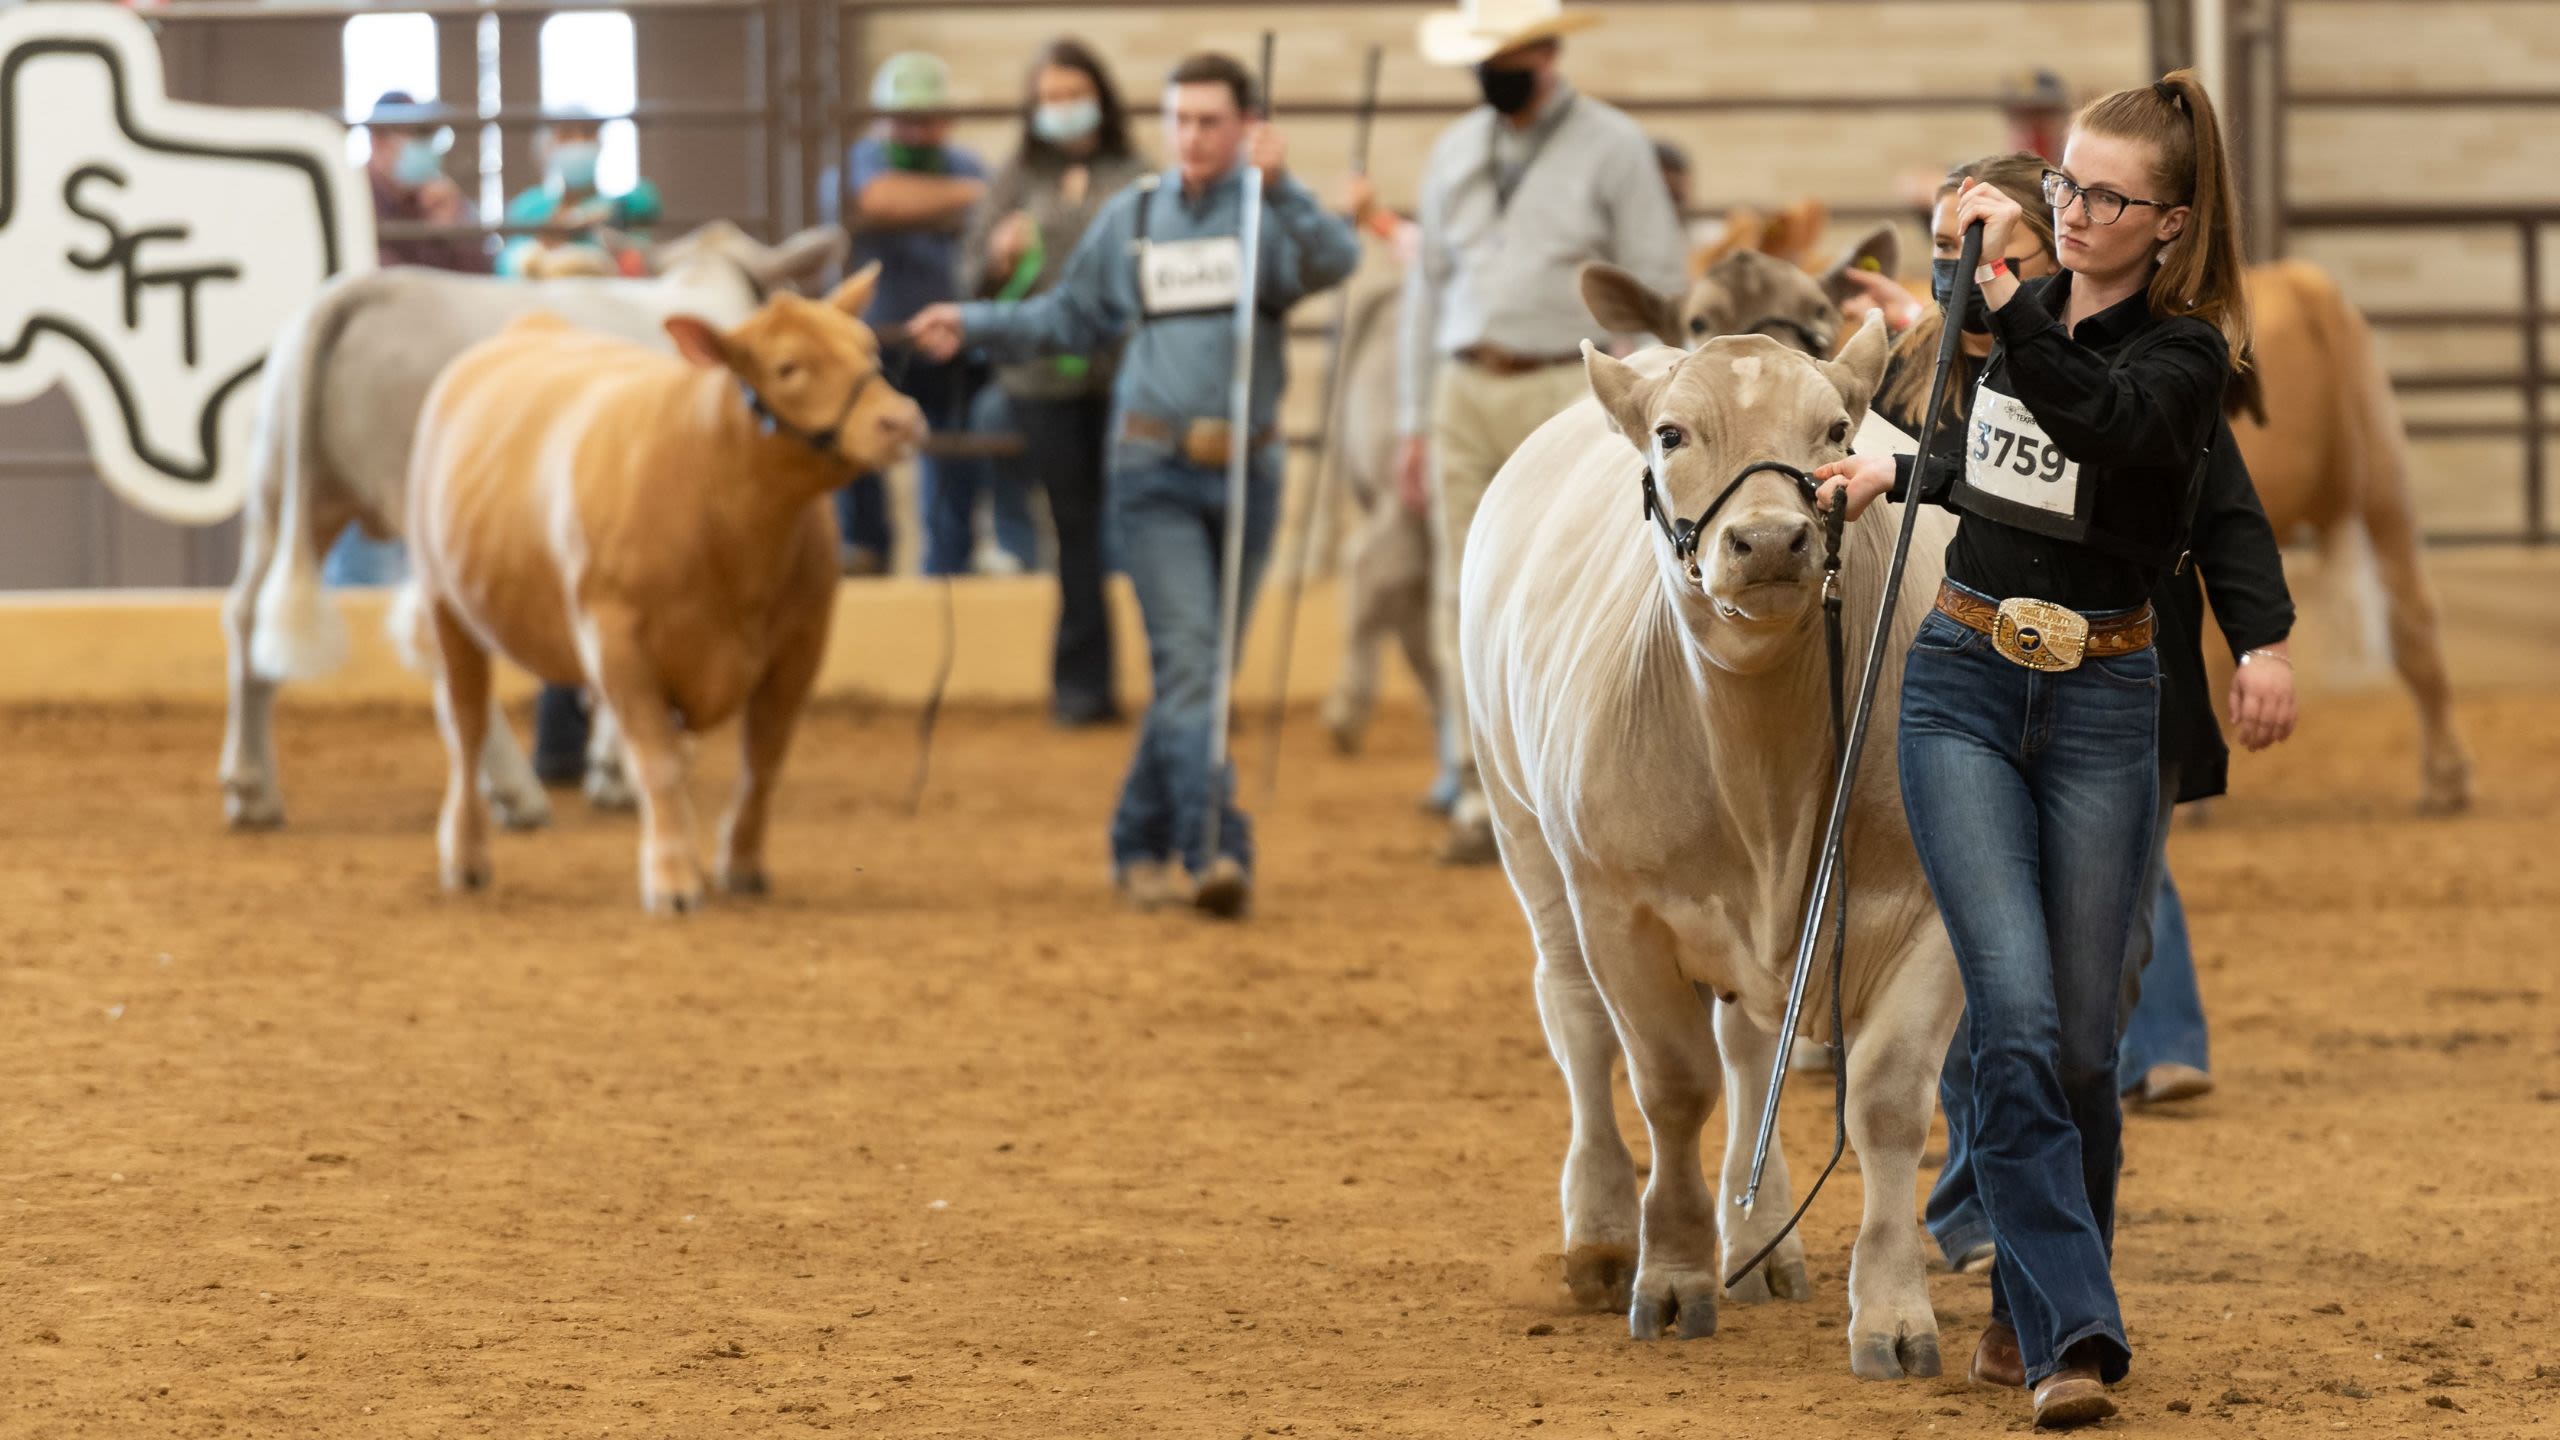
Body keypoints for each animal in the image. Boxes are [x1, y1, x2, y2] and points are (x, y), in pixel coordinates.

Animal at [220, 221, 850, 832]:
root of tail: (371, 289)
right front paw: (622, 768)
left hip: (283, 489)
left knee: (247, 612)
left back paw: (251, 789)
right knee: (436, 636)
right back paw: (514, 791)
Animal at [394, 266, 922, 913]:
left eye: (870, 349)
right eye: (788, 368)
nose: (901, 421)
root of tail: (533, 324)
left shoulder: (801, 644)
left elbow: (763, 760)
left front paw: (741, 864)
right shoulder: (618, 645)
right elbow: (661, 765)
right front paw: (672, 880)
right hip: (445, 602)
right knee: (464, 727)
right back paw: (465, 855)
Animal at [1462, 309, 1966, 1378]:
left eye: (1834, 430)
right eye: (1672, 434)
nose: (1770, 537)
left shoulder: (1933, 904)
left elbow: (1888, 1099)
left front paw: (1893, 1313)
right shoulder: (1619, 907)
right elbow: (1670, 1084)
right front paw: (1673, 1272)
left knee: (1749, 1048)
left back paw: (1764, 1233)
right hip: (1522, 826)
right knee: (1577, 1021)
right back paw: (1602, 1234)